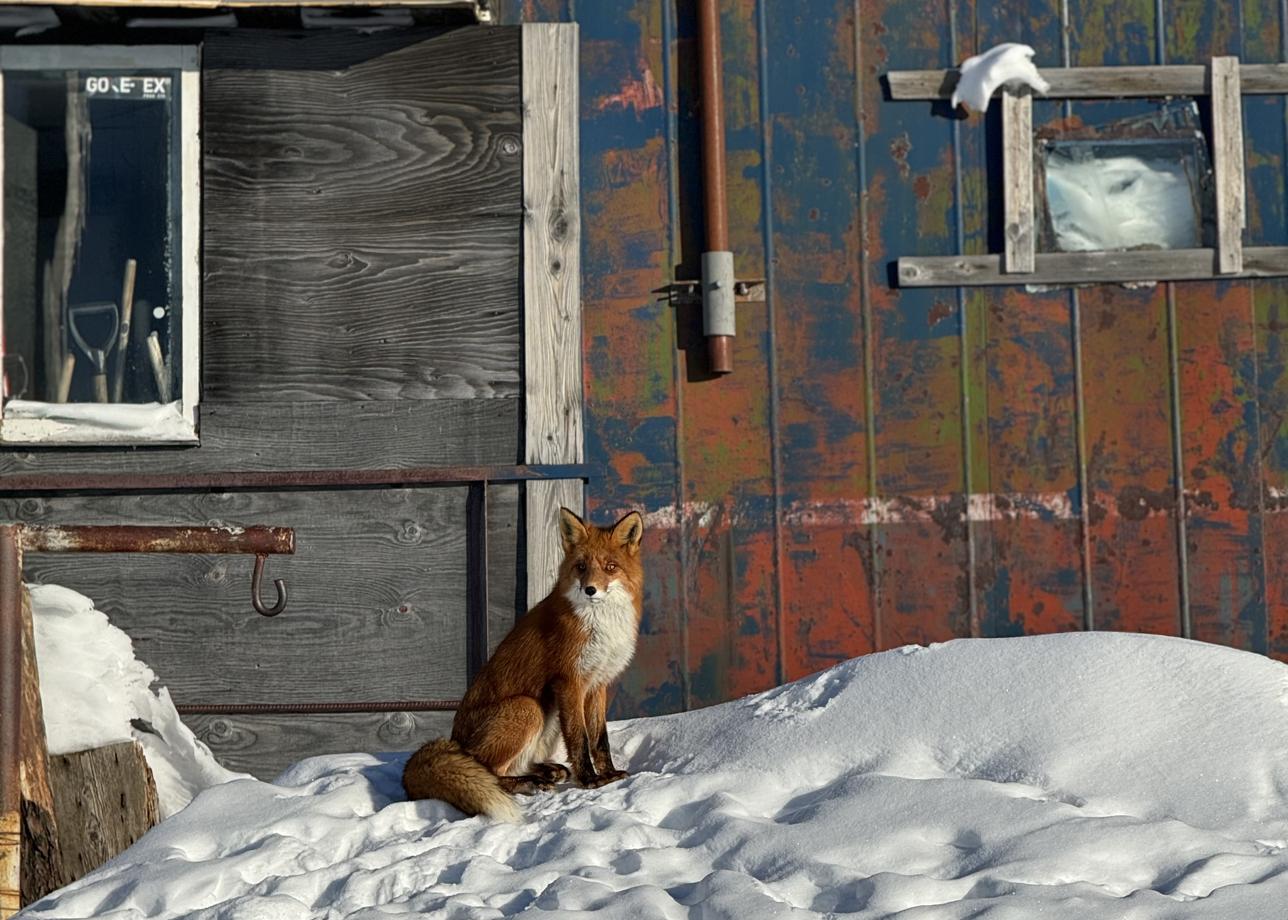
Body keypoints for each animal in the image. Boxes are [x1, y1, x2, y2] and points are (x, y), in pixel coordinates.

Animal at [401, 505, 644, 819]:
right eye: (581, 567)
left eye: (610, 567)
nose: (590, 589)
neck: (598, 623)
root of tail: (455, 741)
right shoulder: (570, 682)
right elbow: (579, 739)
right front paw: (590, 781)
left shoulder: (597, 684)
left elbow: (599, 739)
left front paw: (609, 775)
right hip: (528, 708)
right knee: (489, 771)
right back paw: (527, 783)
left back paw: (546, 772)